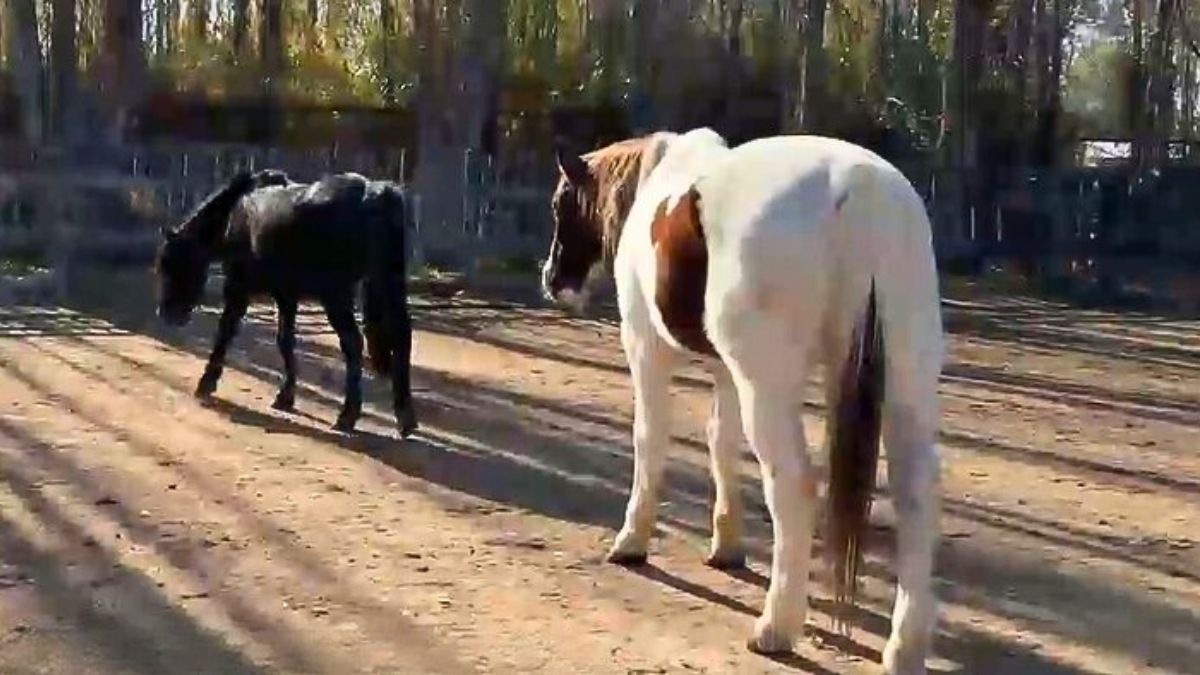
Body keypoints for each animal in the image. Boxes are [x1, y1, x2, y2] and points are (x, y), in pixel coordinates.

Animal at [154, 169, 419, 437]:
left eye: (174, 262)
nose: (167, 313)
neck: (236, 214)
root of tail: (374, 192)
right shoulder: (286, 296)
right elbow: (285, 340)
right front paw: (285, 397)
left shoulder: (239, 290)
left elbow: (225, 333)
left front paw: (206, 384)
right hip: (388, 285)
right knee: (401, 337)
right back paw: (405, 419)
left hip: (336, 295)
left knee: (353, 343)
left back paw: (347, 416)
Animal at [543, 129, 943, 674]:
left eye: (560, 202)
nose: (552, 280)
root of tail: (864, 193)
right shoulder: (725, 371)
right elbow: (720, 442)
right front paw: (726, 545)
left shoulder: (645, 348)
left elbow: (651, 439)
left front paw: (631, 541)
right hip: (905, 384)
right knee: (915, 496)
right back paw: (903, 648)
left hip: (769, 388)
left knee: (792, 487)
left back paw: (775, 628)